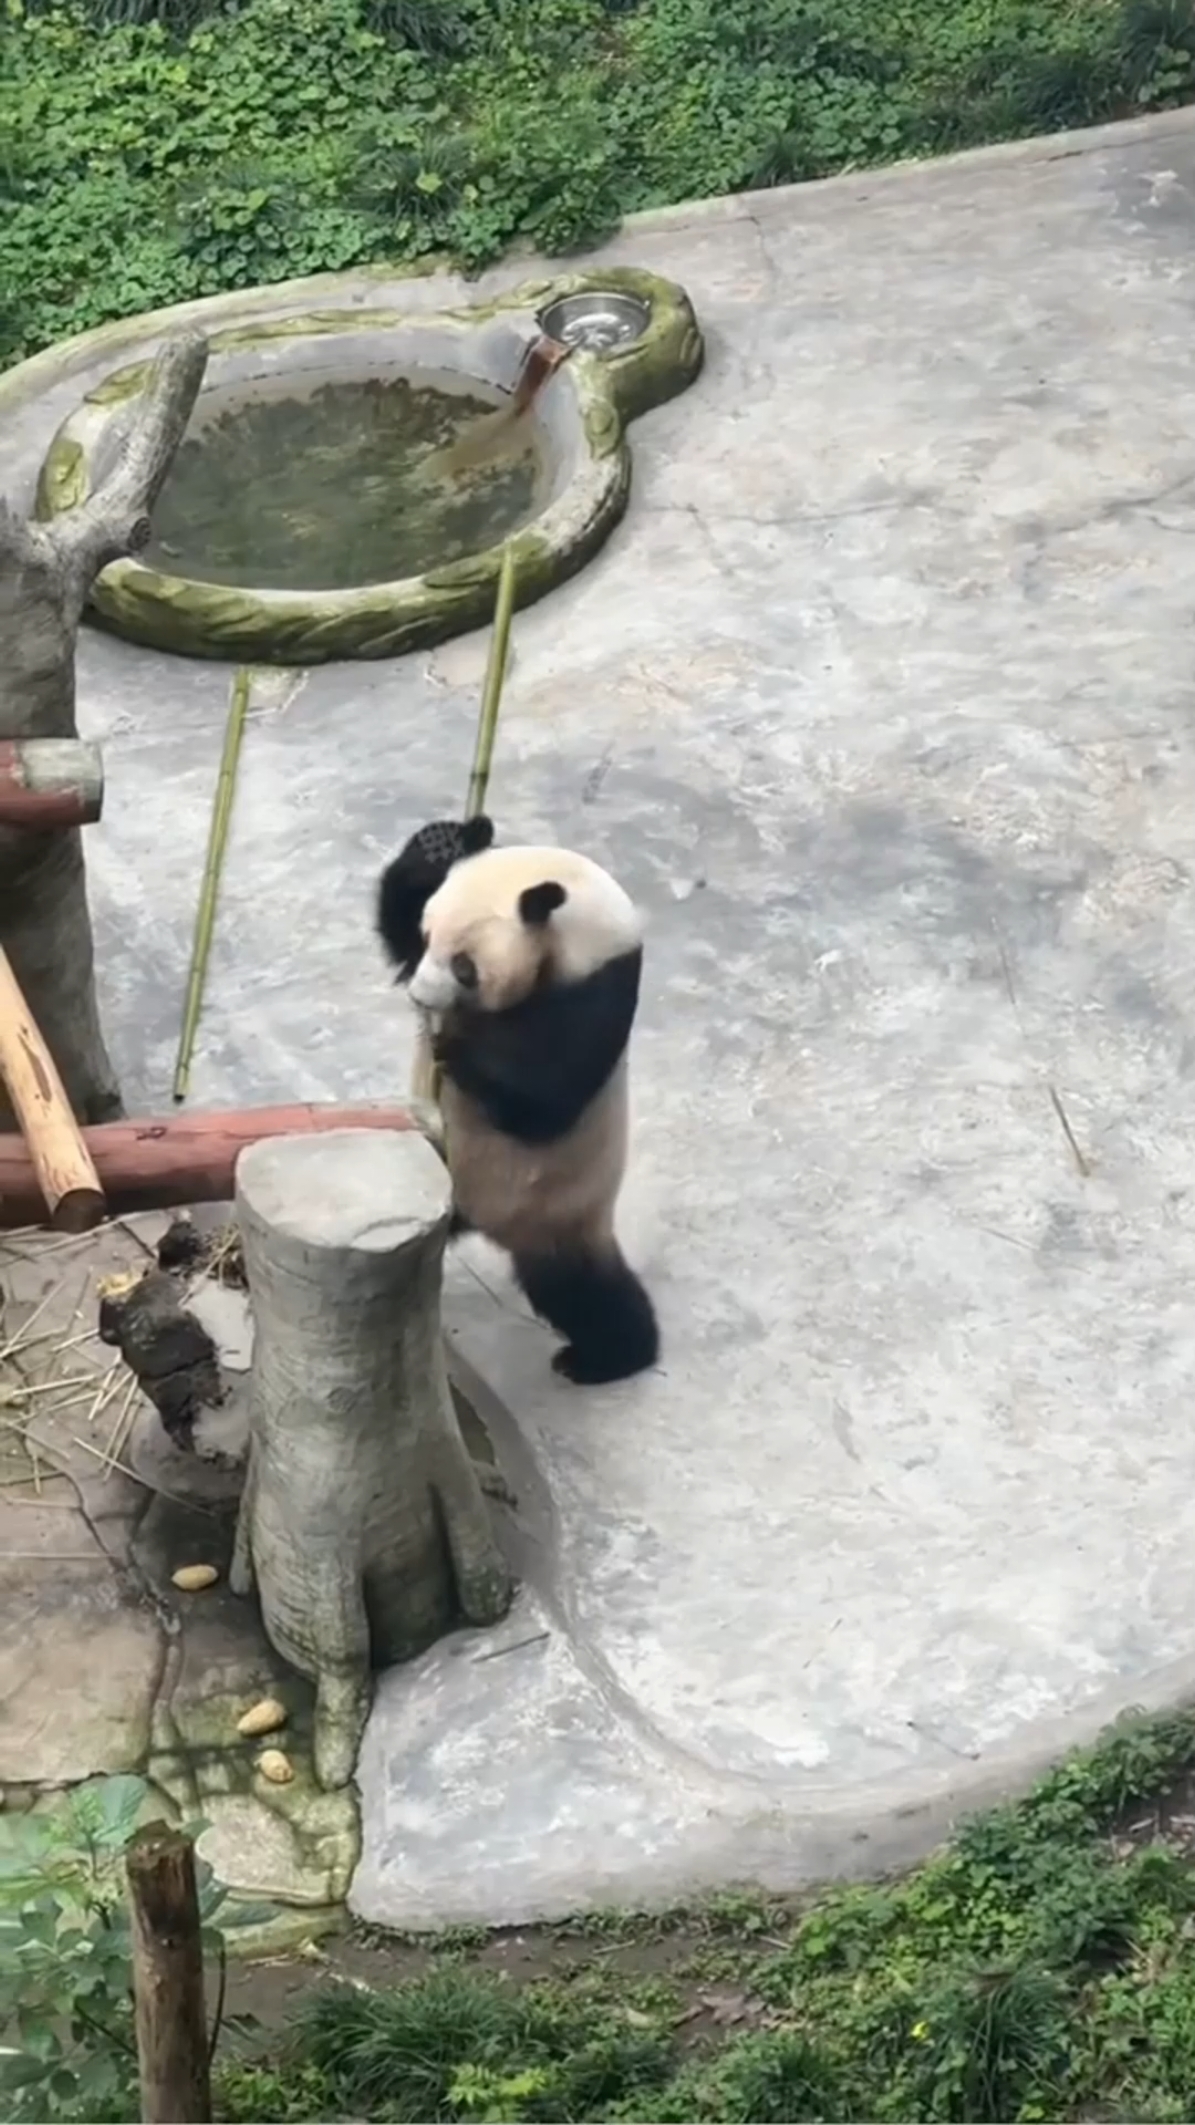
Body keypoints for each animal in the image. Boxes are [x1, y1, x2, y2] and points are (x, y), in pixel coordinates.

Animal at [376, 814, 659, 1387]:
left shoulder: (599, 986)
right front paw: (439, 844)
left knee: (583, 1292)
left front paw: (455, 1044)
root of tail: (472, 1218)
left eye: (464, 966)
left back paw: (610, 1358)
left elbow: (546, 1102)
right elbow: (395, 925)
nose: (421, 998)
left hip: (557, 1211)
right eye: (427, 937)